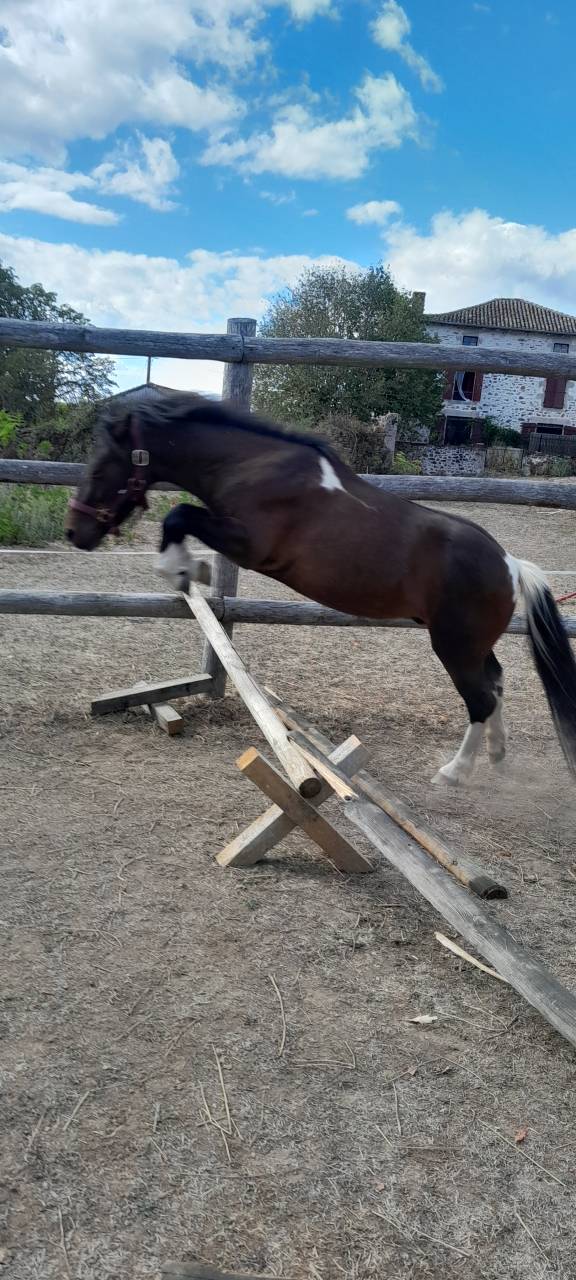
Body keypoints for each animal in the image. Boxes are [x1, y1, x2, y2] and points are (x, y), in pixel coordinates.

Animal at [66, 391, 576, 787]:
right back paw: (497, 755)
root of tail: (511, 565)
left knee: (480, 699)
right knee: (497, 684)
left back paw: (454, 772)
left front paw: (181, 570)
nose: (74, 533)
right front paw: (190, 570)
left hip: (453, 647)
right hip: (472, 646)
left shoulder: (250, 545)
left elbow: (179, 515)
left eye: (102, 467)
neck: (252, 466)